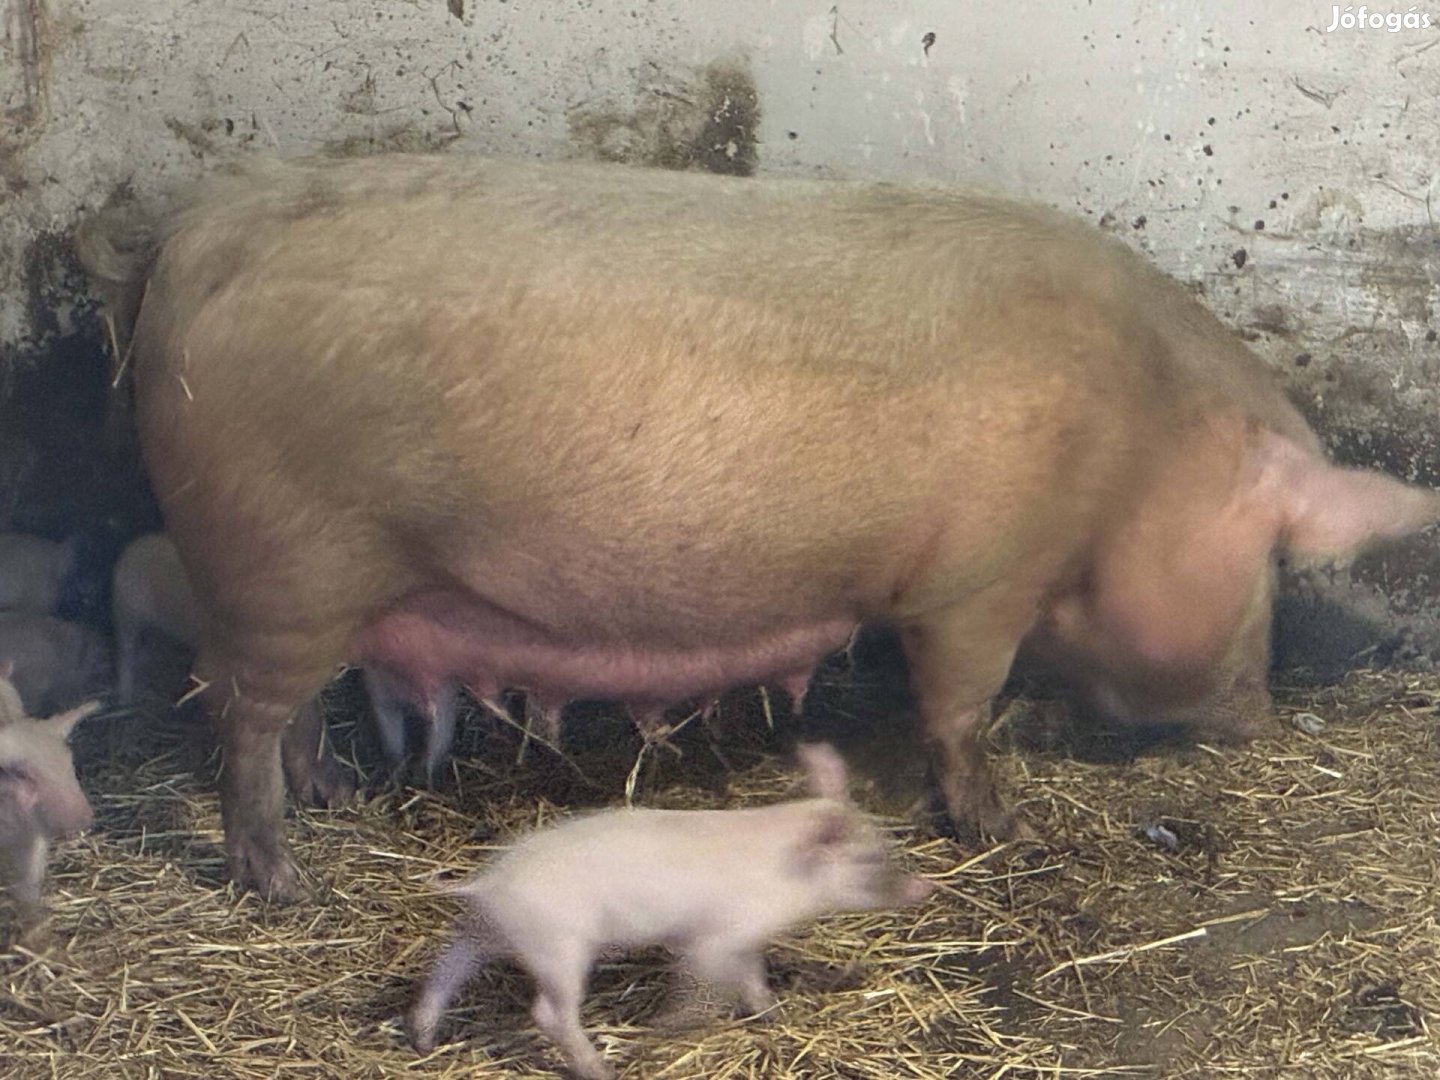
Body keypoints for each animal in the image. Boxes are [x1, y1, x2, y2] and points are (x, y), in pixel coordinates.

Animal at [0, 667, 101, 928]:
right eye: (22, 774)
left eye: (70, 762)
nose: (83, 819)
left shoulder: (34, 836)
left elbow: (29, 887)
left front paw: (36, 927)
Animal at [76, 154, 1440, 901]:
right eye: (1269, 564)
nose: (1260, 712)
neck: (1134, 448)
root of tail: (181, 245)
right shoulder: (978, 581)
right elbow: (957, 703)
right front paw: (998, 824)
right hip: (283, 563)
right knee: (239, 712)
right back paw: (279, 877)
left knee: (287, 710)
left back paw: (331, 801)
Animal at [409, 742, 932, 1079]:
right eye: (869, 860)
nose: (923, 887)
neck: (790, 873)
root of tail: (490, 882)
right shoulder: (718, 937)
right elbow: (700, 981)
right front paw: (668, 1024)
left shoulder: (743, 938)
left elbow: (752, 977)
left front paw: (772, 1010)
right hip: (558, 947)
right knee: (548, 1013)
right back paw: (601, 1070)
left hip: (482, 932)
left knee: (445, 972)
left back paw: (423, 1039)